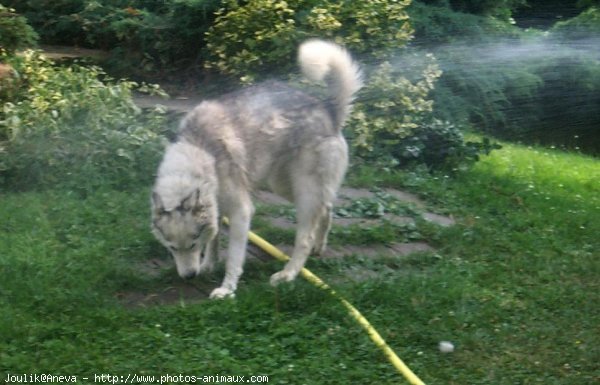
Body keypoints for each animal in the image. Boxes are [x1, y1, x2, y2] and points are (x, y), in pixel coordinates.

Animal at [152, 38, 364, 296]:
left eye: (192, 243)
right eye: (171, 247)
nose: (189, 276)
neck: (200, 149)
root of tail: (329, 110)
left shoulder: (241, 212)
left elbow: (234, 257)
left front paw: (227, 289)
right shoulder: (216, 208)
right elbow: (213, 239)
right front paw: (209, 265)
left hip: (304, 192)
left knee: (304, 238)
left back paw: (287, 275)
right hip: (285, 186)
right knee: (326, 207)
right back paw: (318, 247)